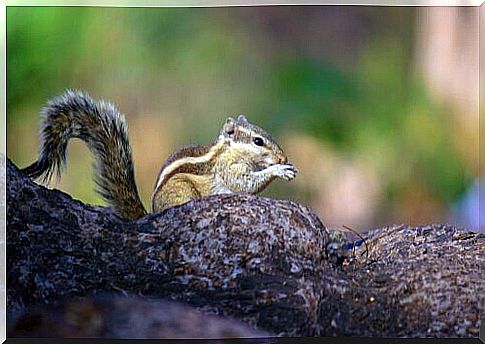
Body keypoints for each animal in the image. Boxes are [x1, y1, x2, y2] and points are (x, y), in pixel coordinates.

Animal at [22, 90, 298, 220]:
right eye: (258, 141)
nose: (283, 158)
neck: (226, 151)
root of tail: (151, 212)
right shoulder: (227, 169)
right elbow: (245, 183)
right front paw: (279, 170)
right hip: (182, 192)